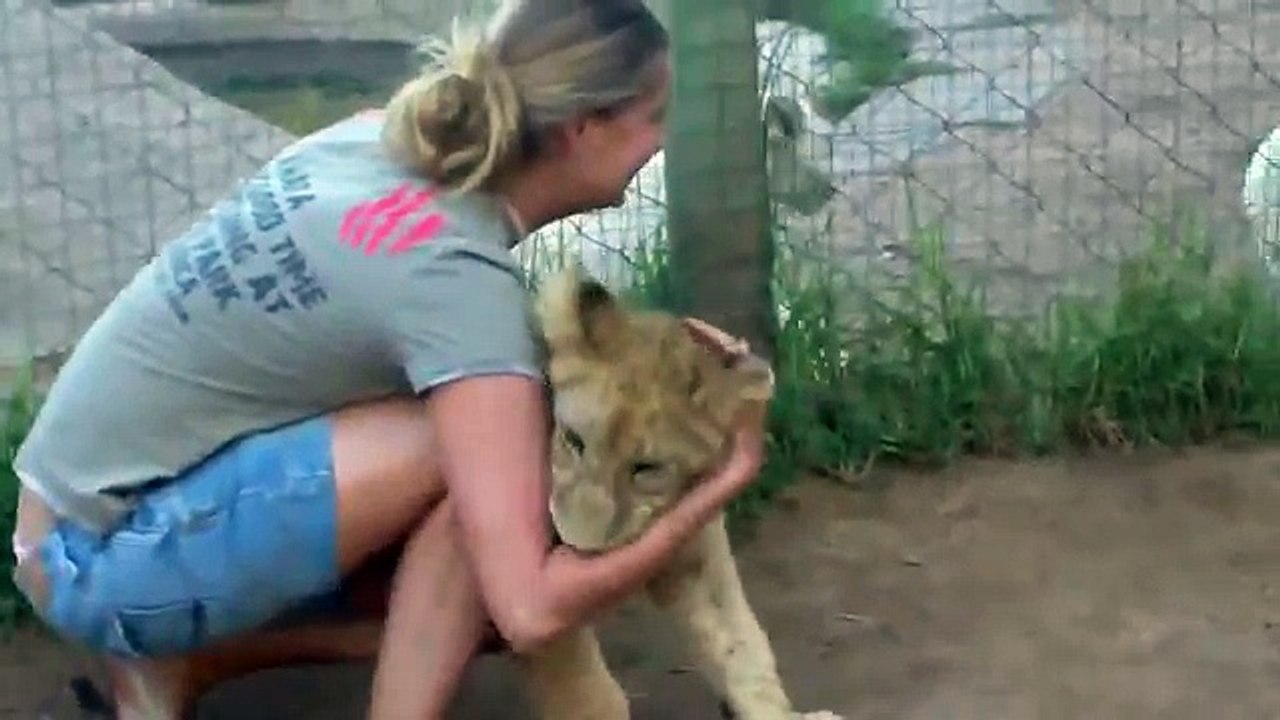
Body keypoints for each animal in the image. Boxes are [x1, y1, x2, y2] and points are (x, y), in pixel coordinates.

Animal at [512, 264, 841, 720]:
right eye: (574, 440)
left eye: (647, 469)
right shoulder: (537, 599)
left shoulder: (694, 544)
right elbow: (585, 692)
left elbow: (742, 645)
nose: (578, 545)